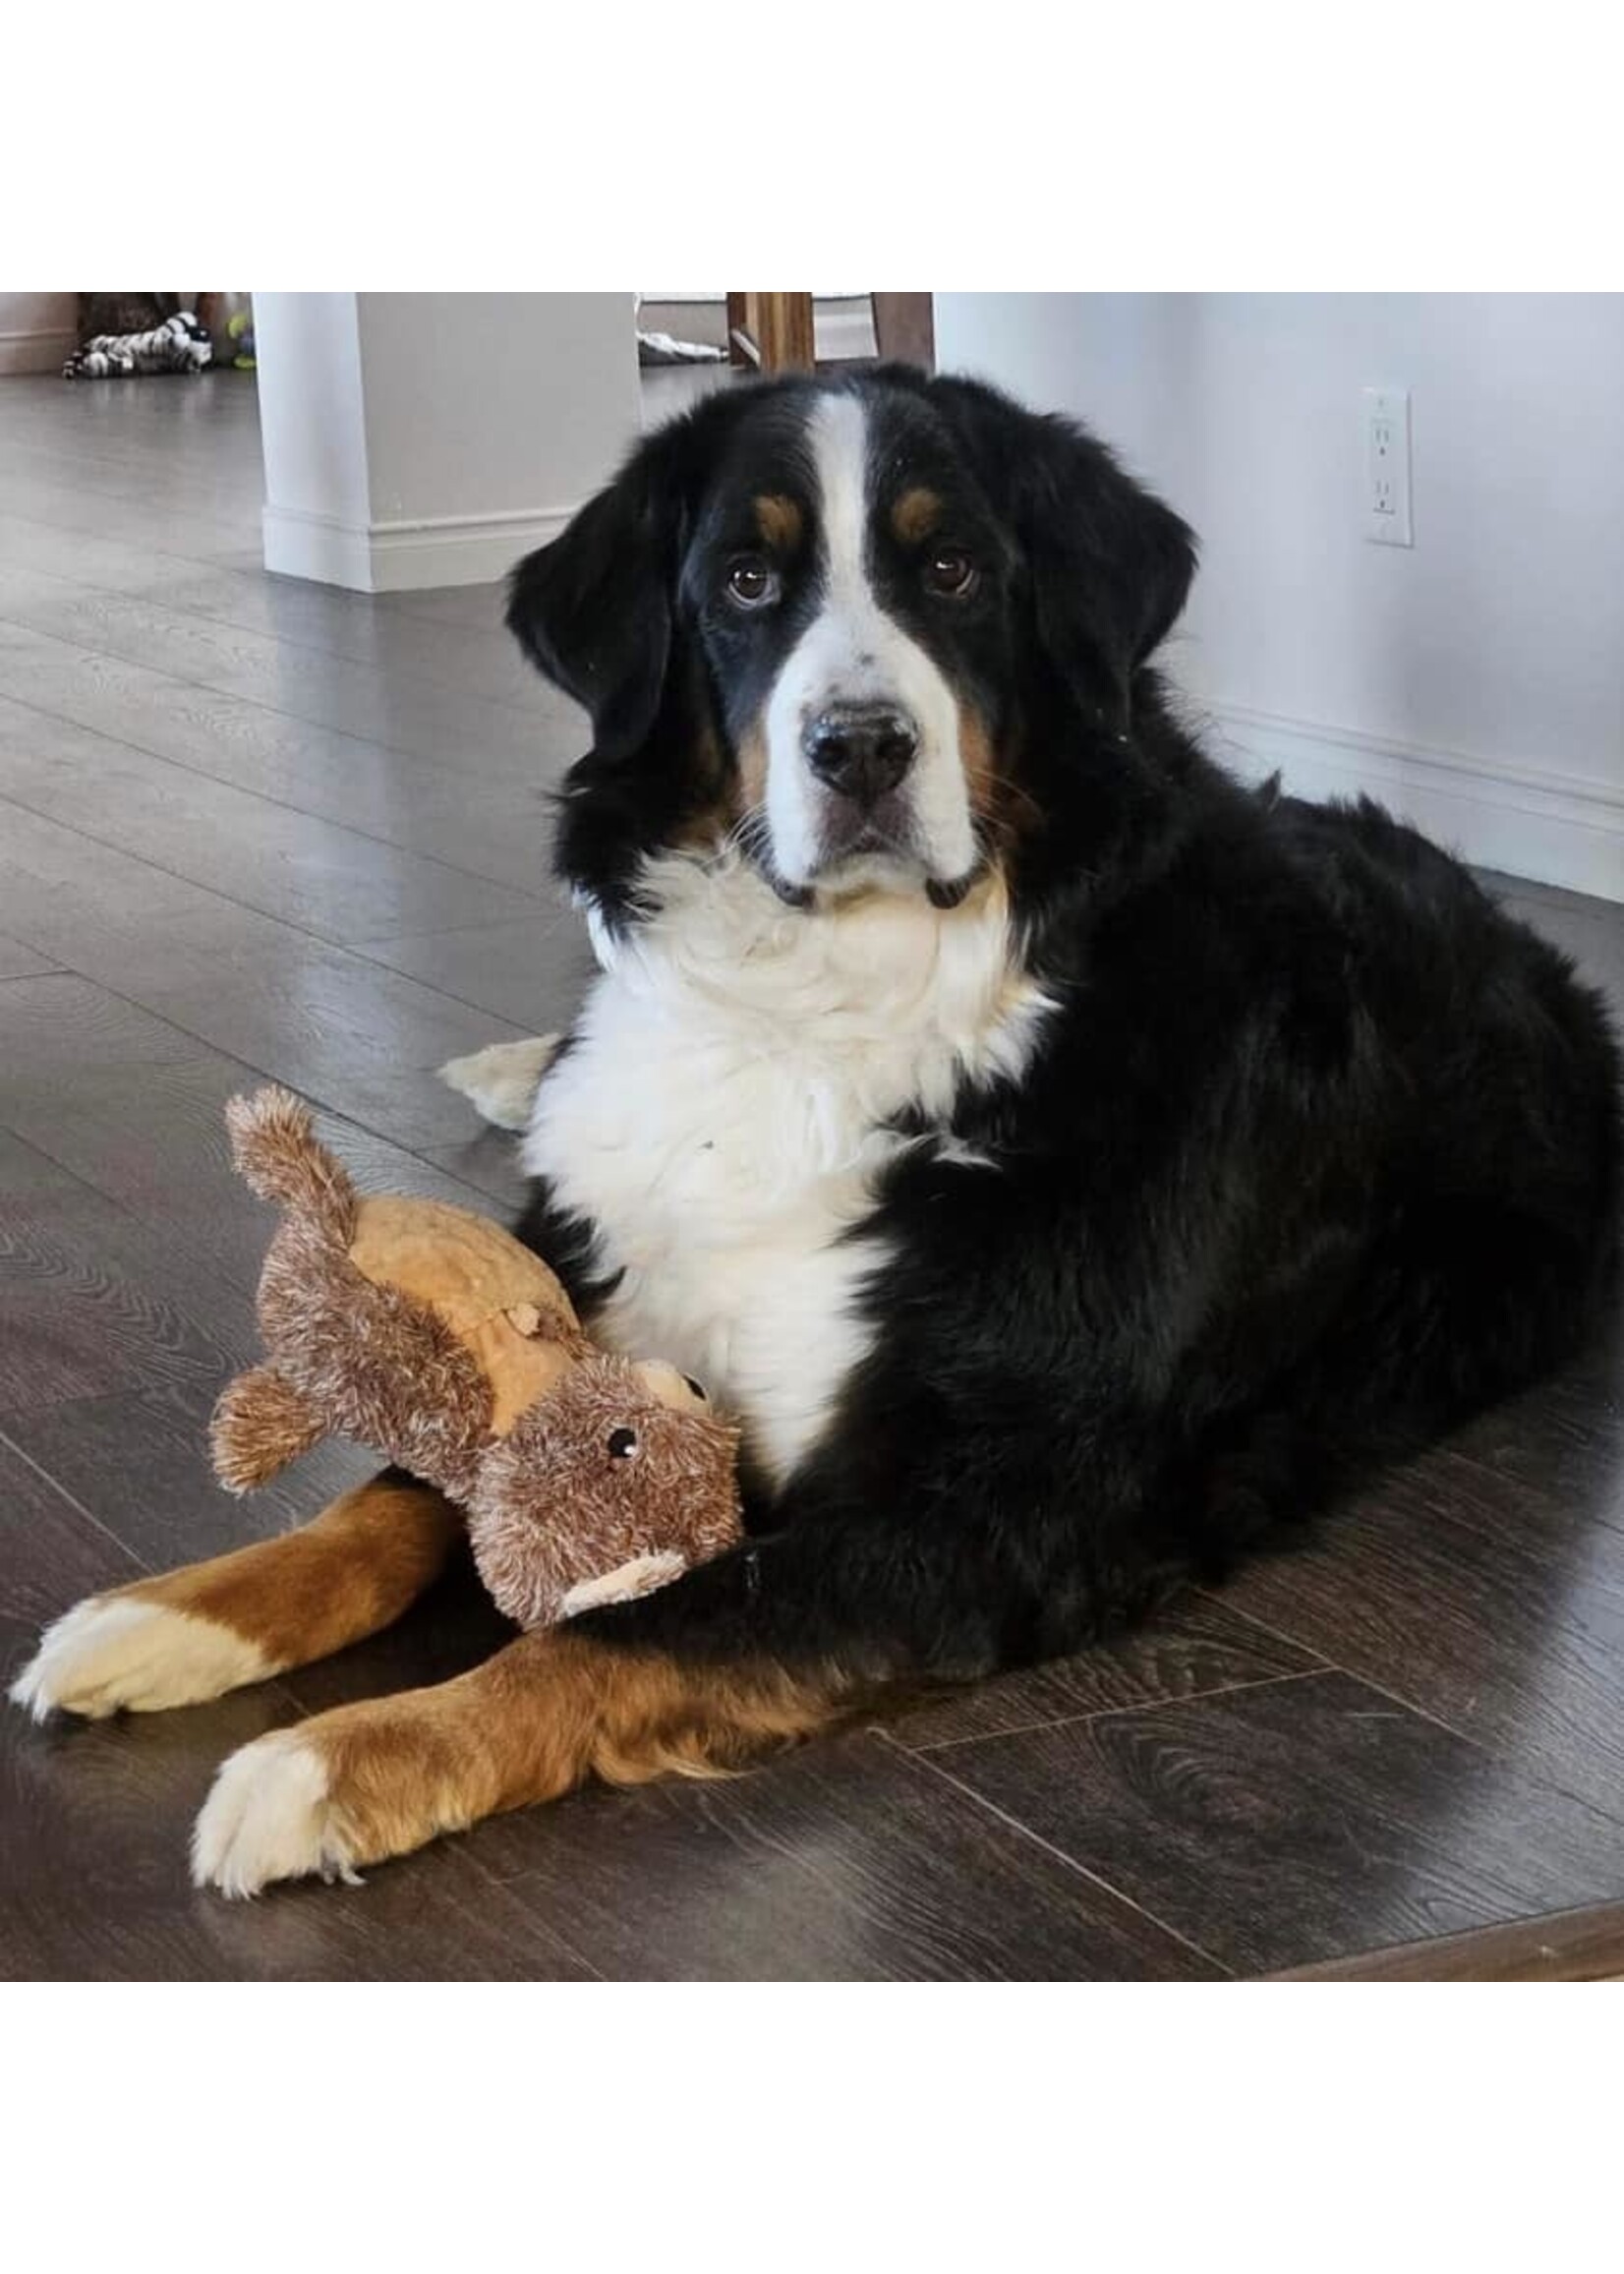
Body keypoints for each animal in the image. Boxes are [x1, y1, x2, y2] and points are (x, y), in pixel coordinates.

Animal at [16, 368, 1619, 1900]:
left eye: (955, 570)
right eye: (743, 581)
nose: (860, 748)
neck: (818, 1008)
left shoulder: (981, 1505)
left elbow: (627, 1626)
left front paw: (334, 1764)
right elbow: (387, 1503)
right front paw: (166, 1614)